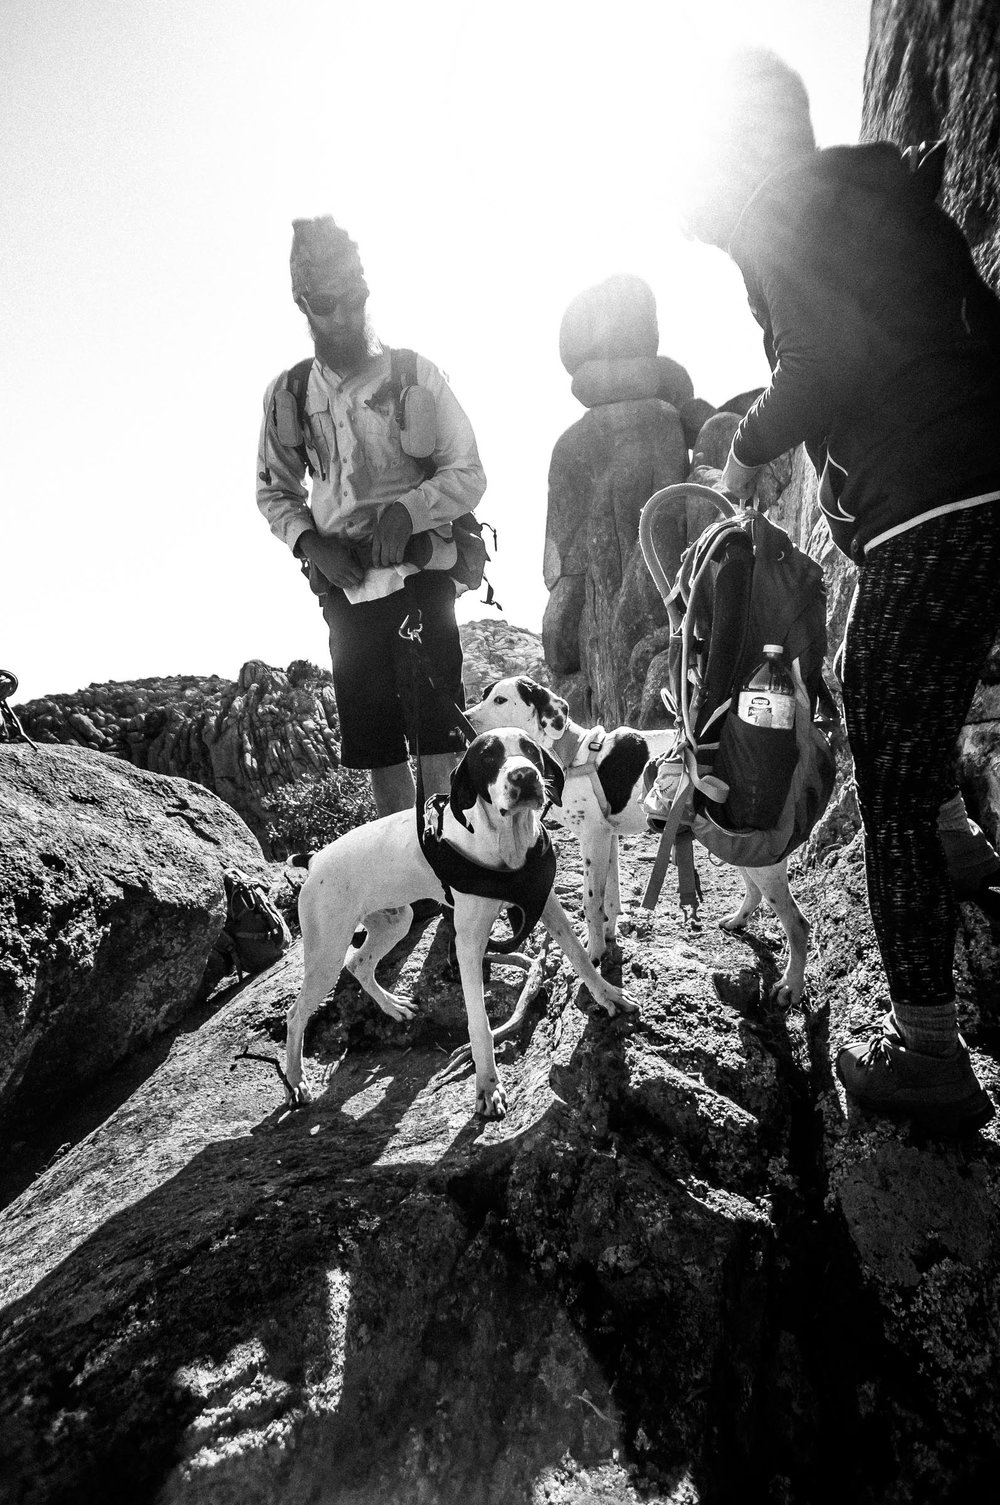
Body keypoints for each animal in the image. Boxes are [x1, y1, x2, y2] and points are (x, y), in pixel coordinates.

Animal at [284, 728, 635, 1119]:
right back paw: (296, 1080)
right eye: (487, 756)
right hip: (326, 953)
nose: (524, 775)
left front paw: (608, 995)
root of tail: (315, 859)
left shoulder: (546, 905)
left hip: (395, 921)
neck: (505, 846)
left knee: (358, 962)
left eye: (531, 751)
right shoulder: (468, 945)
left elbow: (580, 956)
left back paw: (394, 1007)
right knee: (296, 1015)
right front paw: (488, 1086)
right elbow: (479, 1022)